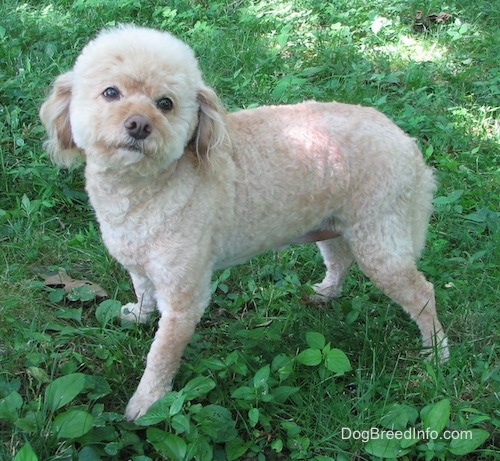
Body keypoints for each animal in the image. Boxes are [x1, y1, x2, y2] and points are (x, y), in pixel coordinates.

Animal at [40, 26, 450, 420]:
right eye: (111, 92)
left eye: (166, 104)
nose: (139, 125)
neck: (146, 187)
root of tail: (406, 141)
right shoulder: (140, 263)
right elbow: (143, 292)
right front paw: (138, 316)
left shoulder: (184, 297)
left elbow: (161, 355)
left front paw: (148, 402)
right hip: (333, 225)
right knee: (339, 261)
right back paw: (325, 293)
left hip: (381, 241)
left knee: (423, 294)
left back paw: (436, 354)